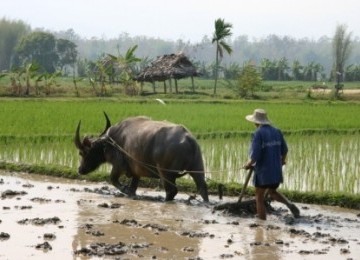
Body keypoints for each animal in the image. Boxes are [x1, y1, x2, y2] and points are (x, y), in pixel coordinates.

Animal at [74, 112, 210, 202]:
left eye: (82, 153)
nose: (80, 170)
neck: (109, 143)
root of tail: (188, 138)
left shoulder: (118, 165)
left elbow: (113, 179)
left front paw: (125, 190)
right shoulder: (136, 171)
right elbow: (133, 186)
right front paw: (131, 193)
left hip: (166, 173)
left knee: (171, 190)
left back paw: (165, 201)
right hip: (197, 167)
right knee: (202, 187)